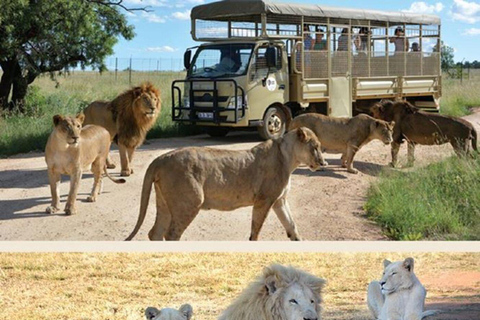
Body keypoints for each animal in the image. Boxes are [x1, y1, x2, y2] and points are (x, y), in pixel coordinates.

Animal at [124, 127, 328, 240]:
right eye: (315, 147)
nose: (323, 163)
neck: (289, 158)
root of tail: (160, 158)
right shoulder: (264, 200)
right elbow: (256, 231)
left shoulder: (279, 200)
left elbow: (292, 227)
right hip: (189, 202)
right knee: (171, 234)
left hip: (164, 203)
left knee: (155, 233)